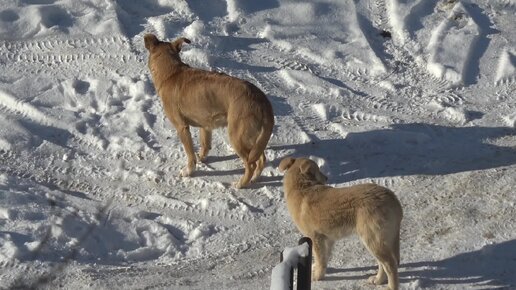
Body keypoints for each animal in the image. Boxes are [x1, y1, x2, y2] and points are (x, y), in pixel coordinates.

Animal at [143, 34, 276, 188]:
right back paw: (254, 179)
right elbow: (205, 145)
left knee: (251, 164)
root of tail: (262, 100)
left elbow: (190, 154)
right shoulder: (205, 125)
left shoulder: (182, 127)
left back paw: (241, 184)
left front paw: (189, 171)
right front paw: (201, 159)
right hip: (254, 138)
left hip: (237, 136)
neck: (172, 73)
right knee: (261, 159)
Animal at [278, 156, 404, 290]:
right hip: (379, 240)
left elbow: (320, 259)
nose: (326, 178)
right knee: (383, 263)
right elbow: (323, 258)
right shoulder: (327, 239)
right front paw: (318, 269)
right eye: (318, 170)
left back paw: (390, 286)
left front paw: (317, 276)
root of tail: (393, 199)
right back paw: (378, 280)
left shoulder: (316, 238)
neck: (302, 186)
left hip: (372, 239)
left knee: (390, 264)